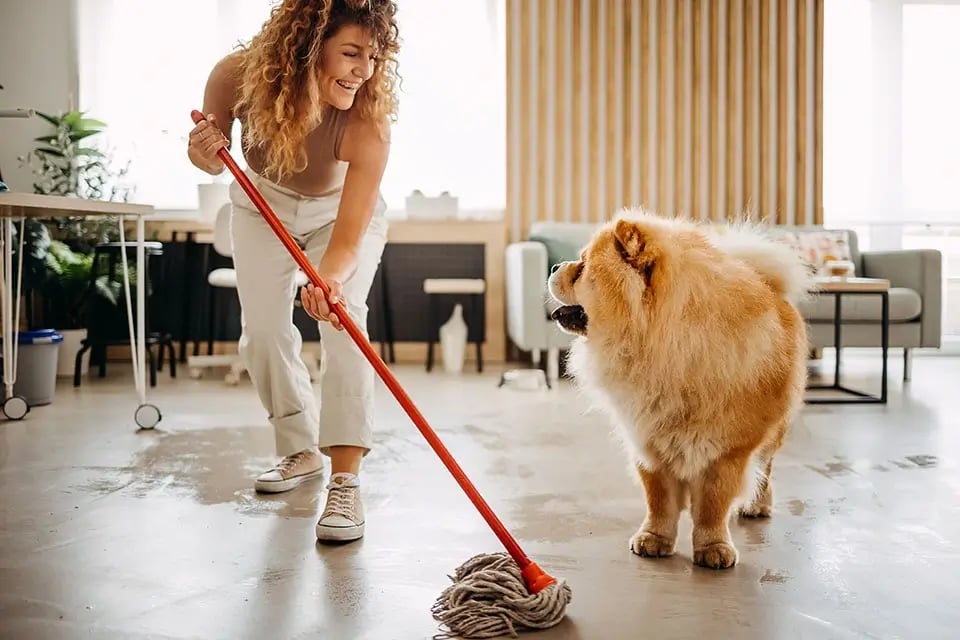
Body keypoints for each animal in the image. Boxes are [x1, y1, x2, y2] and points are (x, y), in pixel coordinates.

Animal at [548, 210, 808, 568]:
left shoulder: (727, 453)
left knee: (764, 468)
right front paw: (654, 539)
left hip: (773, 432)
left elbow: (713, 505)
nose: (554, 267)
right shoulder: (649, 441)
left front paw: (713, 548)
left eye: (583, 267)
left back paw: (756, 505)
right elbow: (659, 500)